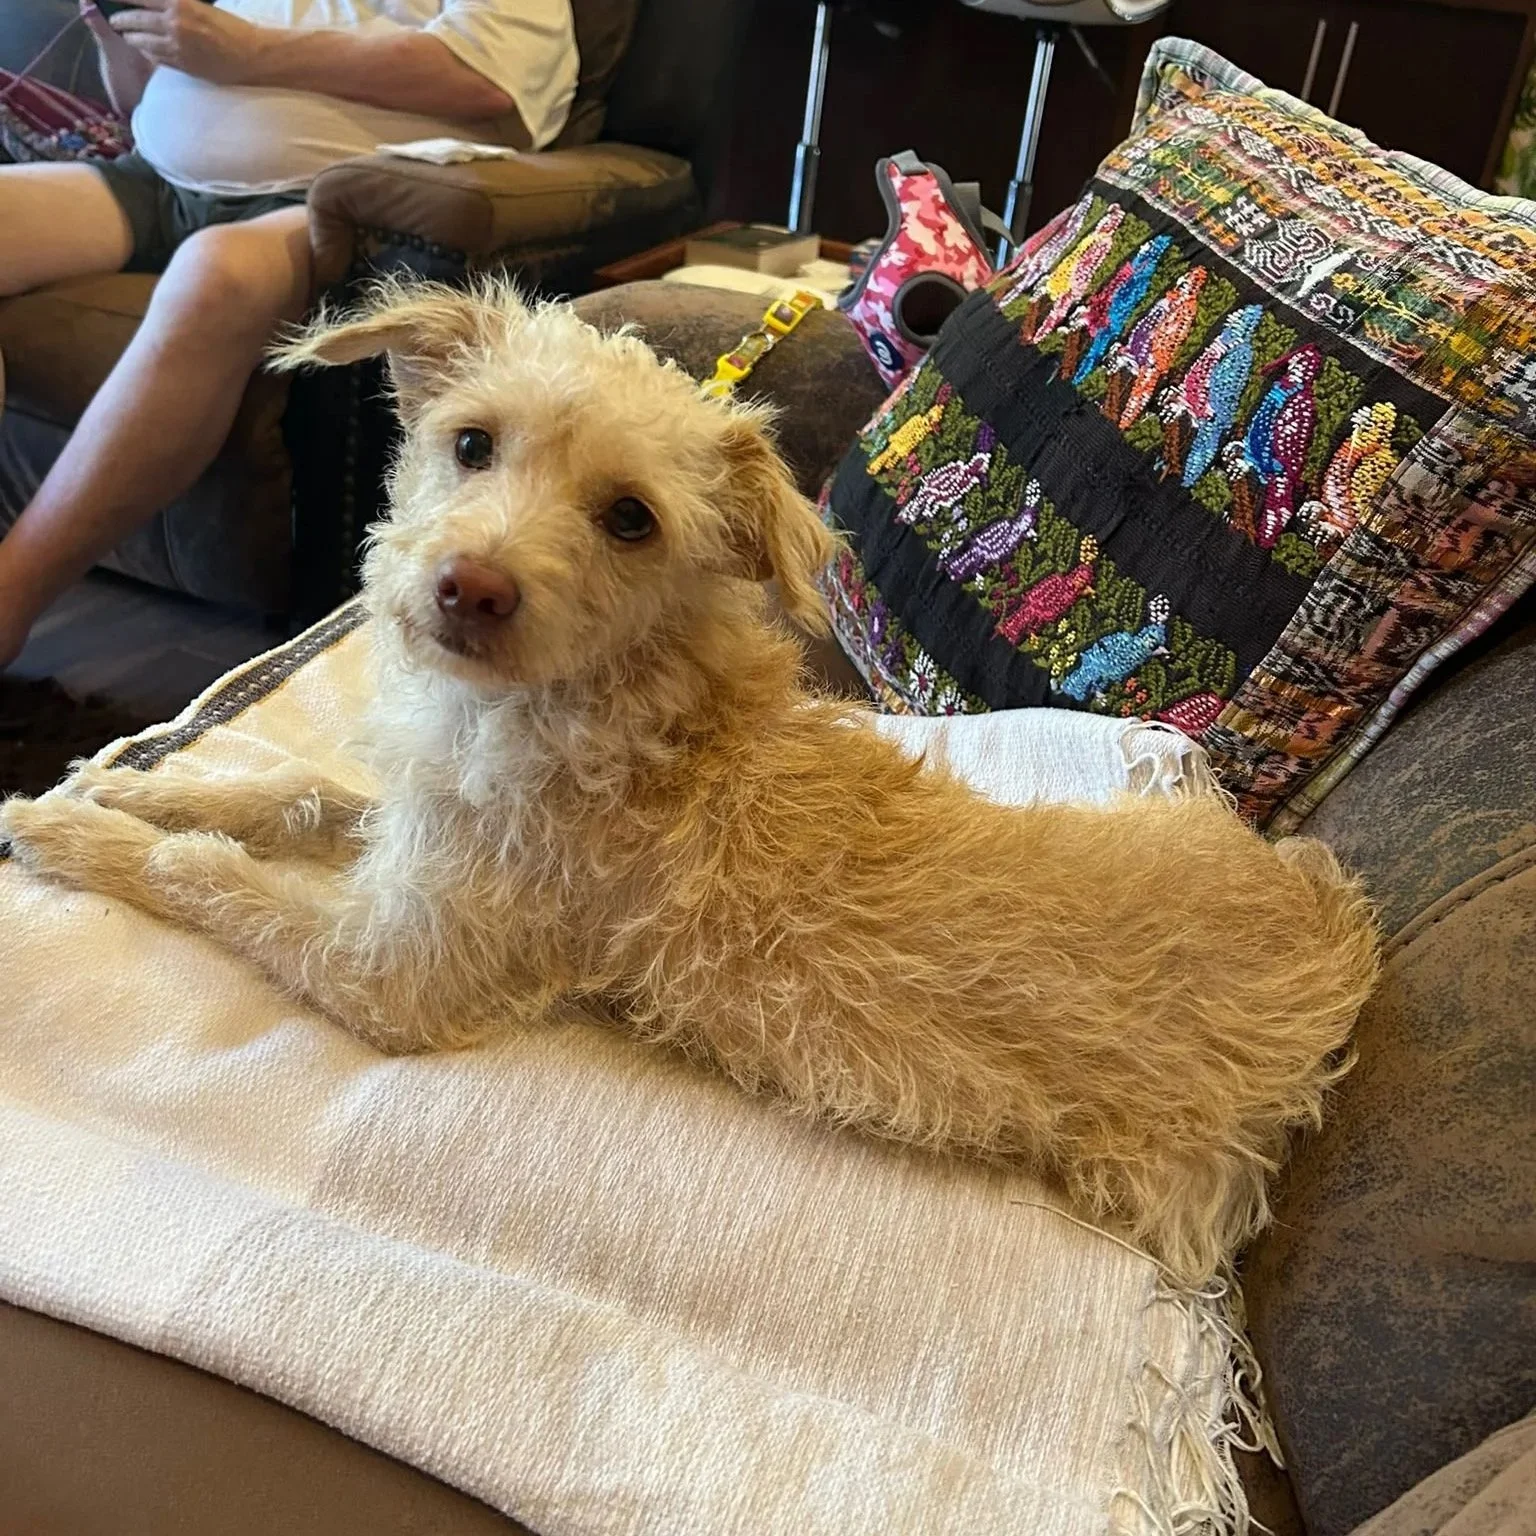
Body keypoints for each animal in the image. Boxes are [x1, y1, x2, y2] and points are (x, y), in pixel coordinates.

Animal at [0, 279, 1380, 1284]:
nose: (467, 588)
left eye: (631, 519)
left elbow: (205, 879)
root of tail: (1331, 935)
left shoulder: (400, 975)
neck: (600, 698)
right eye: (470, 445)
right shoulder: (420, 825)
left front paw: (63, 834)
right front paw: (121, 789)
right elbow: (285, 793)